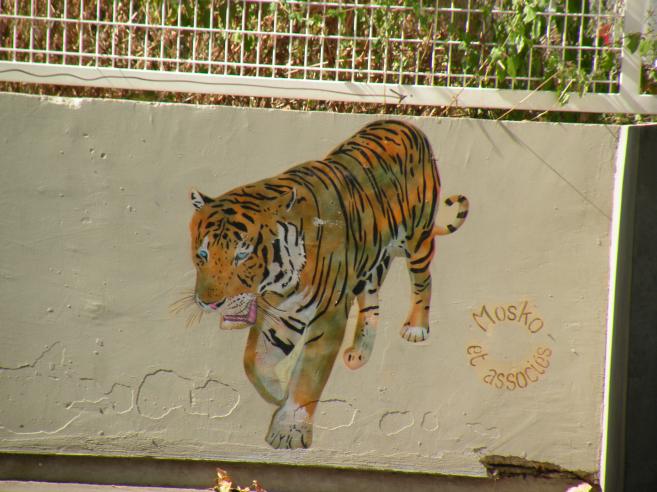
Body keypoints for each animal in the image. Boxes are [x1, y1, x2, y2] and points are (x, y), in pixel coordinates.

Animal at [188, 120, 469, 449]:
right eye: (203, 254)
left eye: (242, 255)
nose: (209, 302)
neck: (280, 284)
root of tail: (403, 123)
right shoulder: (280, 315)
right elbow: (253, 361)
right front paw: (277, 393)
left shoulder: (328, 317)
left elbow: (308, 376)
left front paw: (289, 431)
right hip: (369, 262)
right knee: (371, 301)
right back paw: (359, 353)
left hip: (417, 238)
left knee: (423, 281)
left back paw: (416, 327)